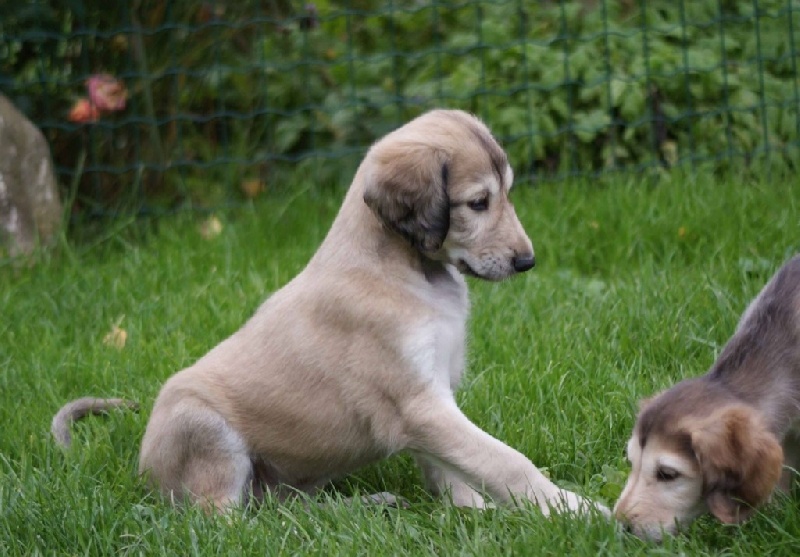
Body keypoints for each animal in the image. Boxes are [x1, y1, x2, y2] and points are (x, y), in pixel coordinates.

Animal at [52, 109, 607, 517]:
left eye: (506, 193)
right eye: (477, 203)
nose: (526, 261)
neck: (404, 272)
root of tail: (141, 471)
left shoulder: (435, 396)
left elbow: (455, 469)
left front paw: (471, 512)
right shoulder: (417, 404)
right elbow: (505, 461)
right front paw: (573, 511)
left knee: (283, 510)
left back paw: (368, 505)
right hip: (205, 429)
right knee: (230, 523)